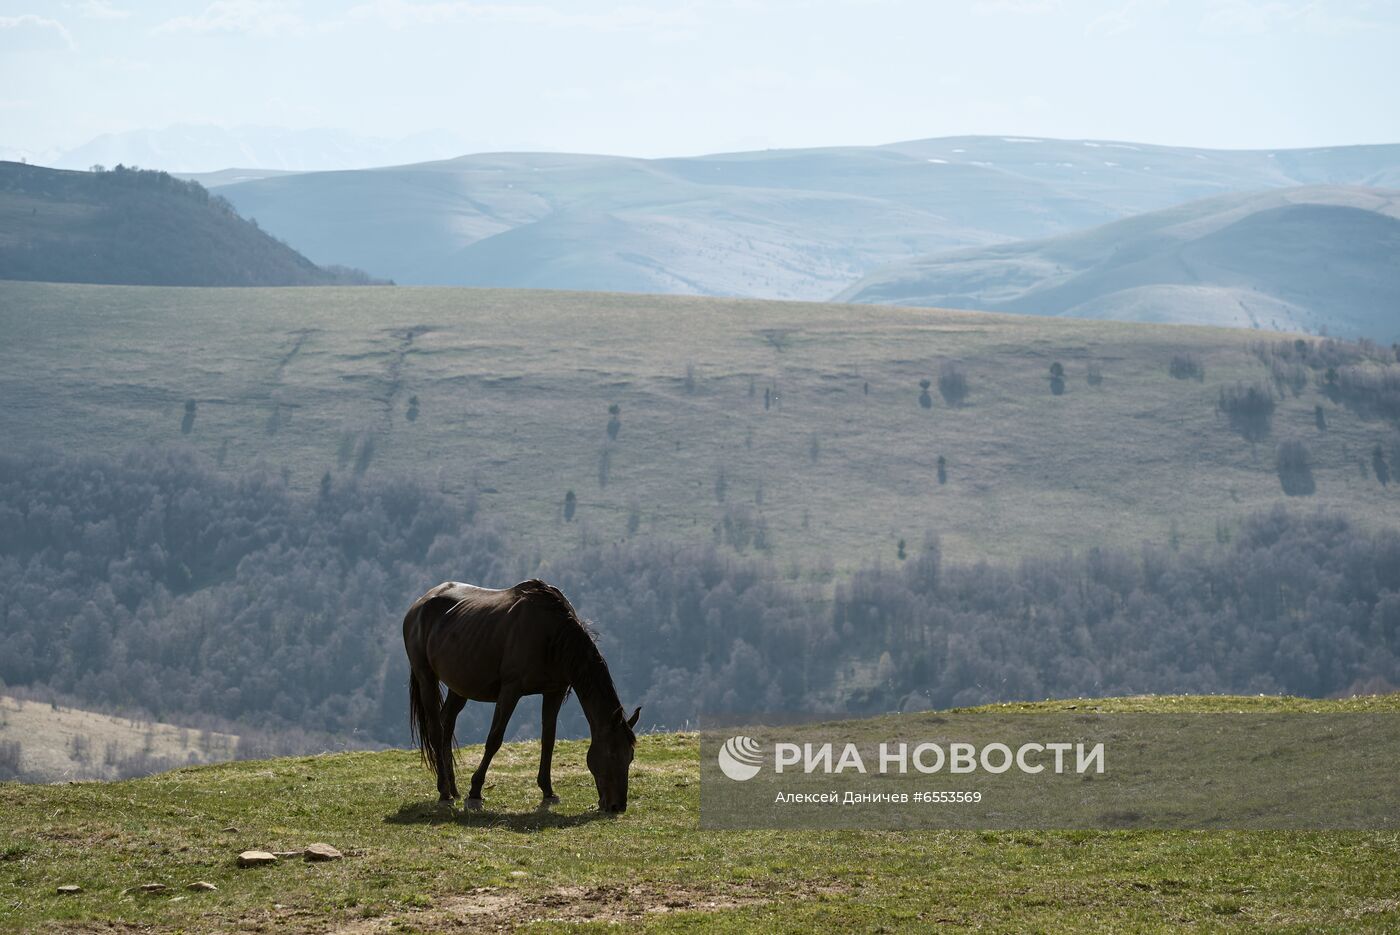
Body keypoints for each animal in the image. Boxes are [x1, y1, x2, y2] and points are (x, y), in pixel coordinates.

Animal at [400, 576, 641, 811]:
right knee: (436, 729)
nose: (617, 805)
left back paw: (453, 788)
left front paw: (548, 791)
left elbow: (548, 739)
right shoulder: (510, 690)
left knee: (447, 724)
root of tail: (418, 606)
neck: (551, 635)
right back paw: (445, 793)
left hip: (459, 685)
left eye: (630, 757)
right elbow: (494, 739)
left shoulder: (554, 691)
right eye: (611, 753)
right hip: (426, 677)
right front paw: (475, 792)